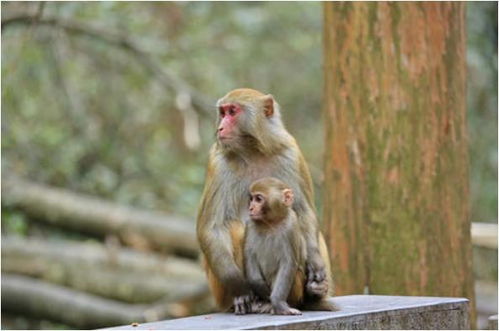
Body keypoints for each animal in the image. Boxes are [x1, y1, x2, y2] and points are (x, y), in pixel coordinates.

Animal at [236, 179, 338, 316]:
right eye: (251, 199)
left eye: (258, 199)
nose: (251, 208)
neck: (270, 223)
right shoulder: (250, 225)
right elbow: (249, 257)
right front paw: (260, 286)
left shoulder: (291, 226)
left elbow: (288, 264)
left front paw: (279, 305)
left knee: (295, 274)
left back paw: (273, 305)